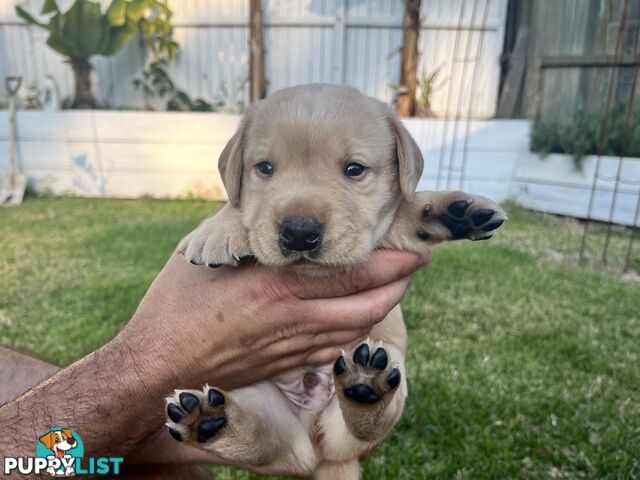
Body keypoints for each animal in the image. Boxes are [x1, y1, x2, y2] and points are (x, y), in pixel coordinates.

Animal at [165, 84, 504, 478]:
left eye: (354, 169)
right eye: (265, 168)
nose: (299, 232)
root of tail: (317, 441)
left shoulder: (378, 236)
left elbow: (404, 211)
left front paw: (450, 211)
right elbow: (238, 205)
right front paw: (218, 229)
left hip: (390, 378)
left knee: (364, 425)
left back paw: (366, 388)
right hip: (265, 405)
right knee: (266, 442)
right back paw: (209, 421)